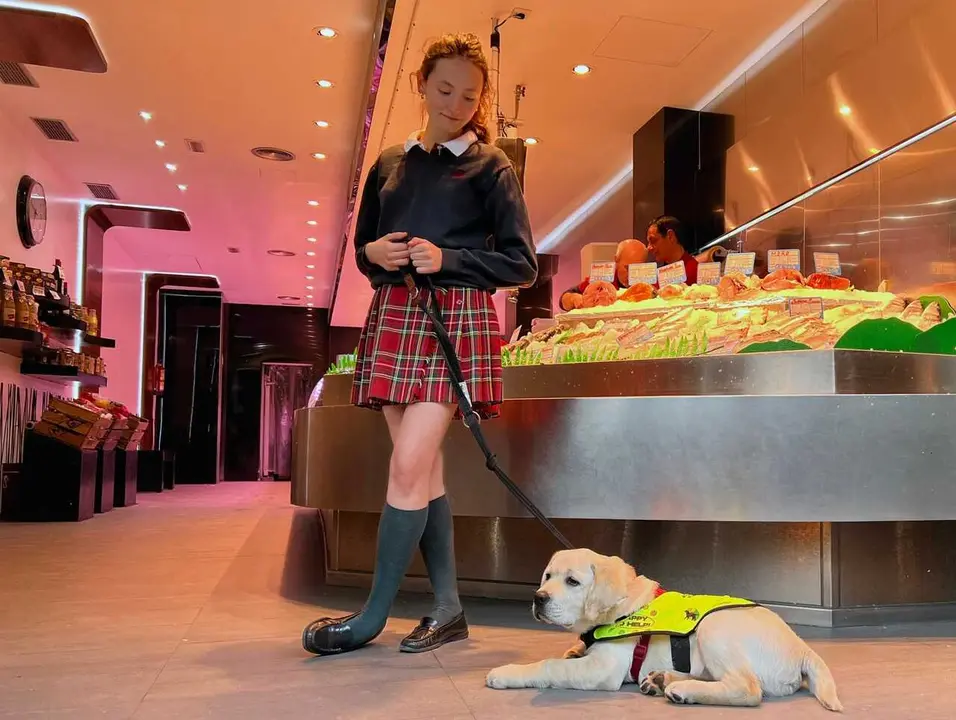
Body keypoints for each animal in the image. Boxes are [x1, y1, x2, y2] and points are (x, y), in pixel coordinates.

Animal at [486, 549, 843, 712]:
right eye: (547, 576)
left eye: (572, 581)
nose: (538, 598)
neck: (619, 605)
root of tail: (803, 648)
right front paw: (574, 648)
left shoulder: (602, 668)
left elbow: (550, 665)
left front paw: (506, 673)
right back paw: (662, 679)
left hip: (714, 627)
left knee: (747, 688)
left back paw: (679, 689)